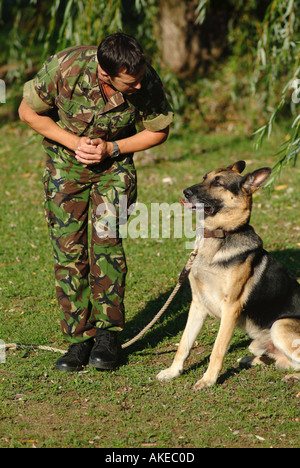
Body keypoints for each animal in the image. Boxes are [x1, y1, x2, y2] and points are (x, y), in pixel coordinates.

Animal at [157, 163, 300, 390]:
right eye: (204, 177)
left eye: (218, 183)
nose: (185, 192)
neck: (219, 235)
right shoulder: (197, 304)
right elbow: (184, 344)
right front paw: (173, 372)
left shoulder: (231, 307)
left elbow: (217, 349)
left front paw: (208, 380)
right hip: (258, 343)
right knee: (284, 361)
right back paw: (252, 360)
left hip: (280, 325)